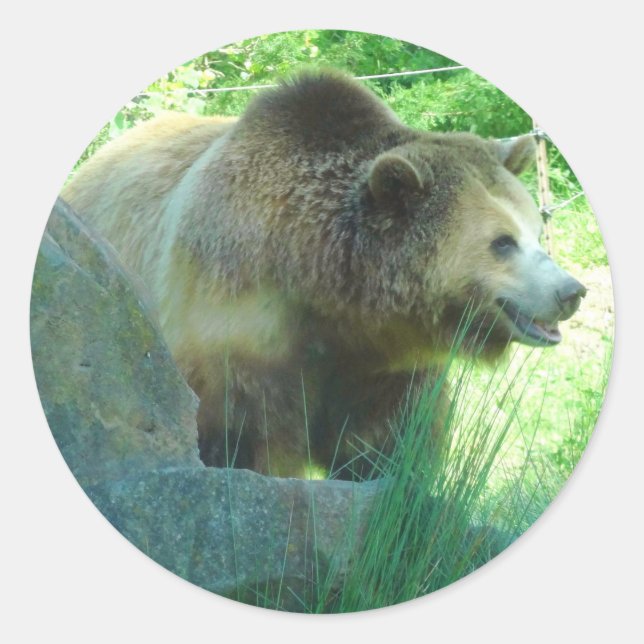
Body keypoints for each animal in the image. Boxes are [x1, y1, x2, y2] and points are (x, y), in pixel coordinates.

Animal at [61, 69, 586, 479]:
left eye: (534, 228)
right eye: (502, 242)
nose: (570, 291)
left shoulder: (385, 368)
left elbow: (389, 444)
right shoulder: (234, 323)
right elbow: (245, 434)